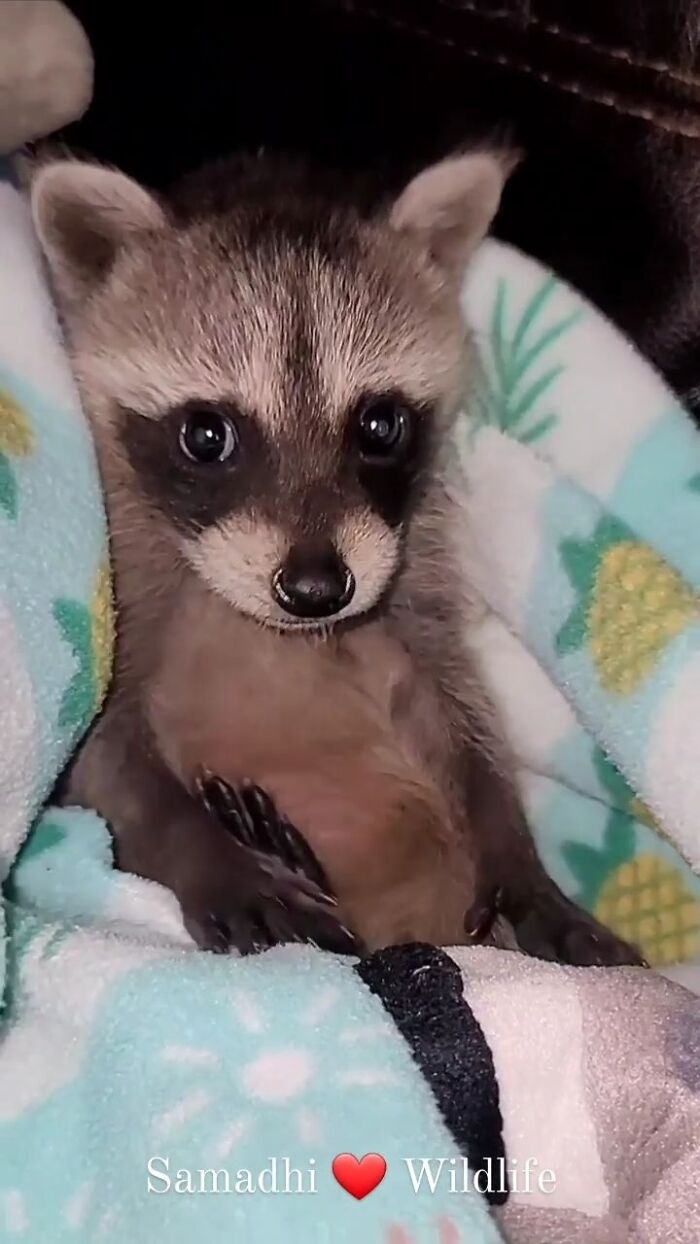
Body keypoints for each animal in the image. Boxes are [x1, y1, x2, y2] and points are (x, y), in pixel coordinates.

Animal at [31, 151, 640, 963]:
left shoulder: (411, 581)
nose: (318, 589)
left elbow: (465, 721)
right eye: (206, 435)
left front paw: (516, 853)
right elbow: (102, 755)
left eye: (379, 424)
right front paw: (204, 851)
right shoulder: (119, 592)